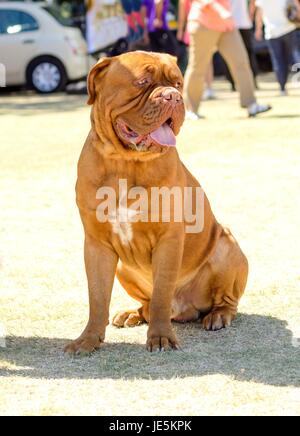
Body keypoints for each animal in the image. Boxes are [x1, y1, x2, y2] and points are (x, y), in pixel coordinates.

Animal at [63, 51, 248, 354]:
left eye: (177, 82)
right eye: (143, 82)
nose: (173, 96)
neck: (125, 162)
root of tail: (184, 309)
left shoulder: (168, 239)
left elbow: (162, 292)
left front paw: (160, 337)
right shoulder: (97, 244)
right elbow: (97, 297)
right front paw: (88, 340)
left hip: (227, 246)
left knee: (221, 301)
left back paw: (218, 315)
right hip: (123, 269)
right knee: (147, 304)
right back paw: (132, 313)